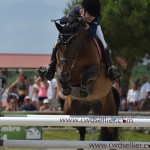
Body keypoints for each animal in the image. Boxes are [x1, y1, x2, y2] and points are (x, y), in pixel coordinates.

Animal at [54, 15, 119, 149]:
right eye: (58, 46)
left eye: (73, 45)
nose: (65, 73)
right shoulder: (61, 67)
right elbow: (59, 74)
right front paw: (66, 88)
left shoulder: (97, 69)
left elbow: (85, 74)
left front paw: (83, 91)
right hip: (73, 111)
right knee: (82, 130)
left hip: (108, 112)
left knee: (110, 134)